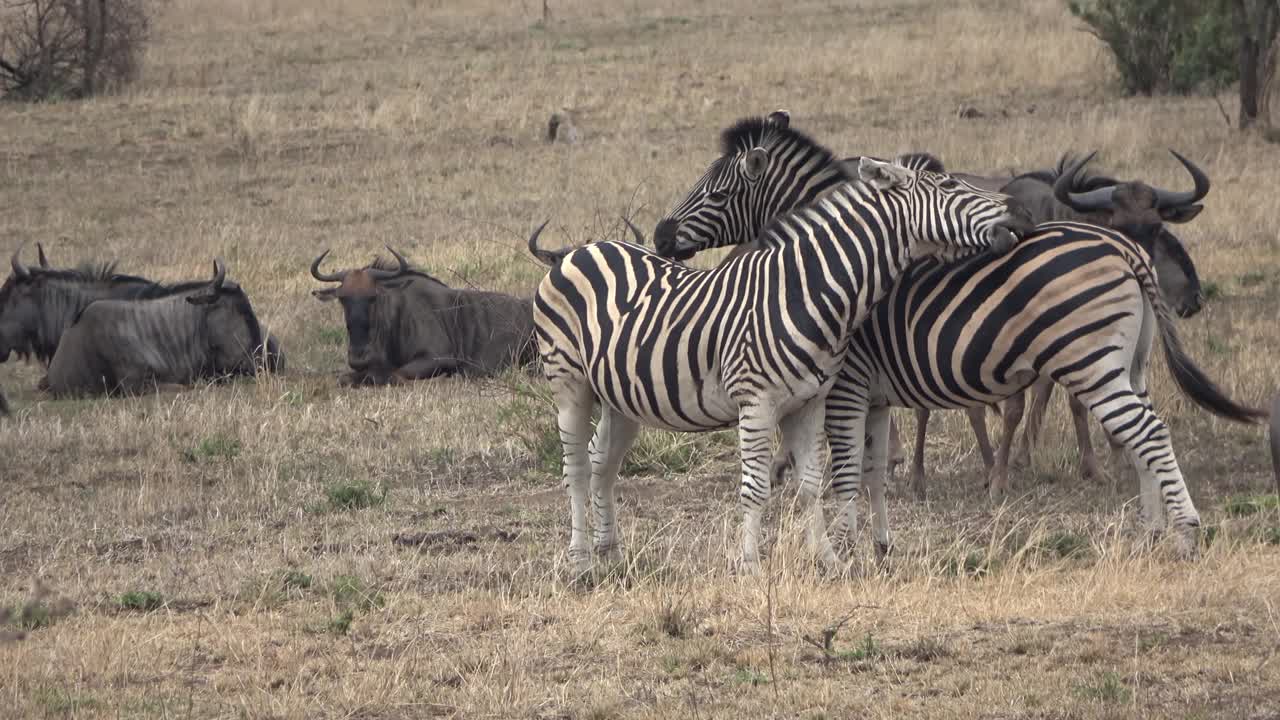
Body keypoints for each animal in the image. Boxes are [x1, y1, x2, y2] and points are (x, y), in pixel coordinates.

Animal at [524, 114, 1024, 573]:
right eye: (950, 187)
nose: (1016, 217)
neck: (807, 289)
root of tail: (581, 250)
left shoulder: (809, 402)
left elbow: (811, 484)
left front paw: (828, 560)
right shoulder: (761, 402)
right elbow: (758, 487)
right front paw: (751, 565)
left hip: (622, 395)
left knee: (602, 462)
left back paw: (610, 552)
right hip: (569, 384)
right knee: (576, 466)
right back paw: (580, 560)